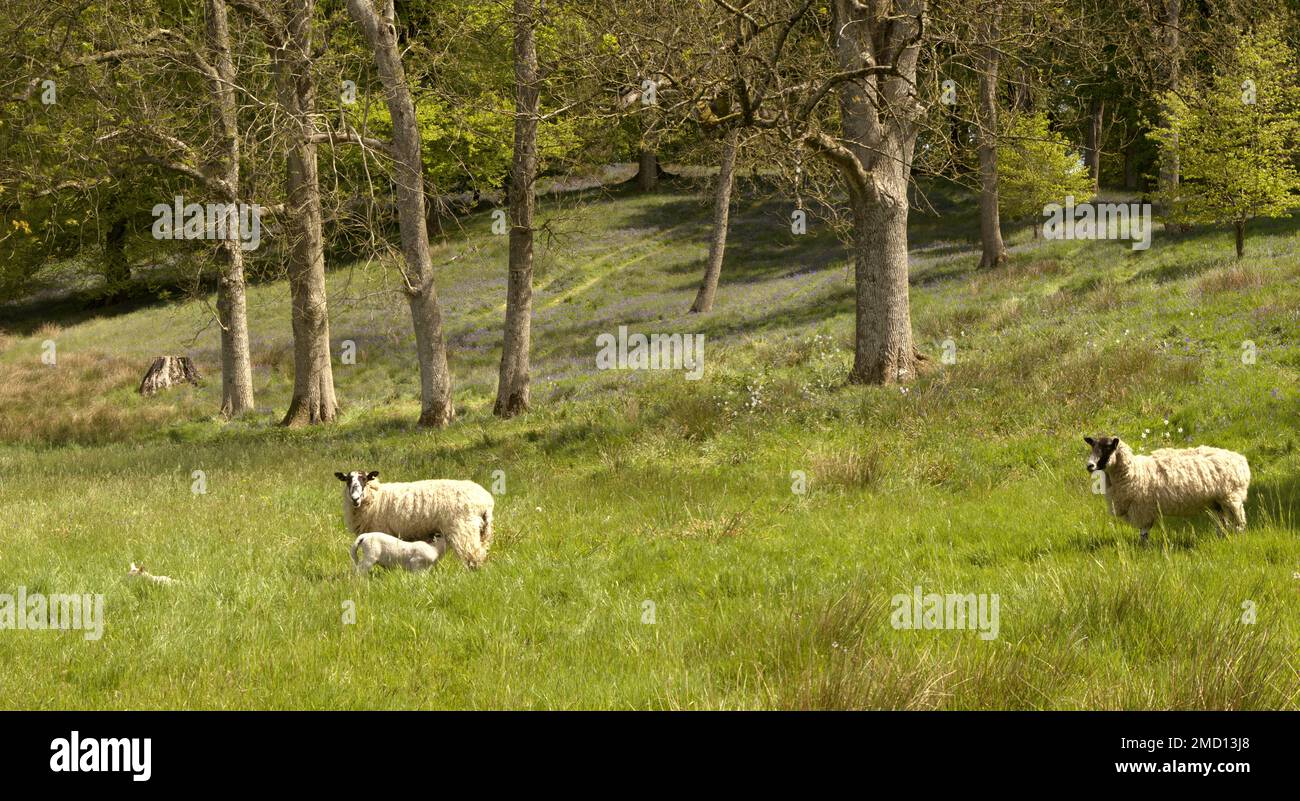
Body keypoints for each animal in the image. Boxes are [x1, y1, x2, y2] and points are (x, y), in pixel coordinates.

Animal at [335, 470, 494, 569]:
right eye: (348, 480)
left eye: (364, 479)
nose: (355, 498)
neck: (376, 497)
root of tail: (486, 500)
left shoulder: (381, 530)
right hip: (482, 531)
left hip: (463, 529)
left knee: (472, 555)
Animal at [1084, 435, 1250, 541]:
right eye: (1093, 447)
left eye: (1107, 448)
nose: (1089, 466)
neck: (1135, 471)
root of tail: (1241, 459)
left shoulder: (1143, 509)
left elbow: (1144, 534)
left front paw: (1144, 550)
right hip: (1217, 502)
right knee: (1222, 524)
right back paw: (1221, 539)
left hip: (1232, 497)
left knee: (1240, 523)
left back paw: (1238, 540)